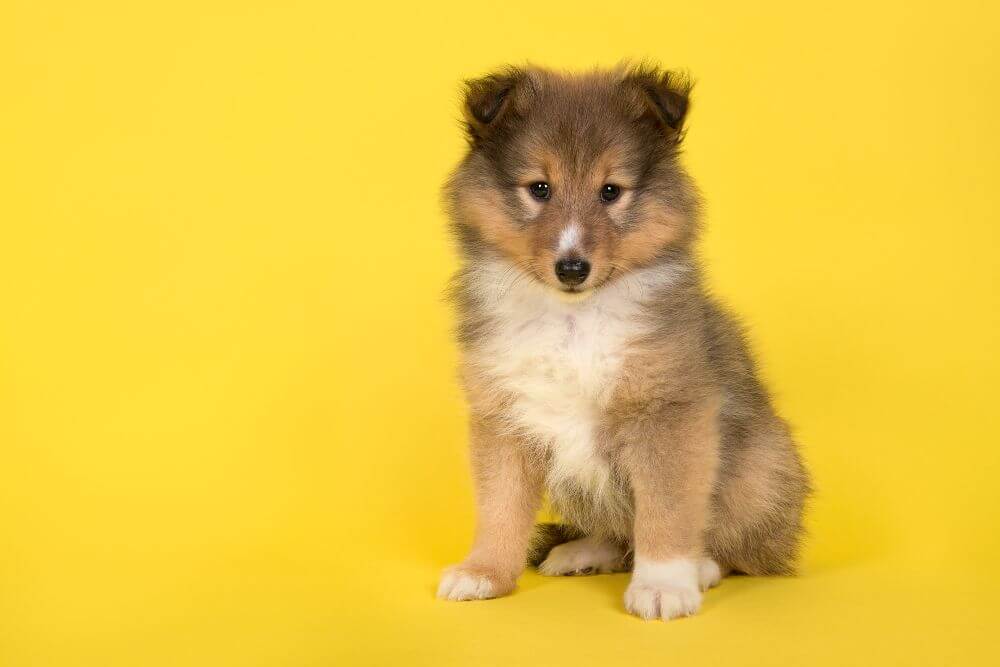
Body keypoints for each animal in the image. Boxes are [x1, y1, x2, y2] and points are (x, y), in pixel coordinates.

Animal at [434, 64, 808, 620]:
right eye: (539, 188)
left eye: (611, 191)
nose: (572, 268)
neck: (572, 320)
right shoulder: (503, 418)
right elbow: (499, 505)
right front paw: (484, 572)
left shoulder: (669, 412)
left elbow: (667, 508)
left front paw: (664, 585)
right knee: (617, 533)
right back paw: (582, 552)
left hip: (762, 466)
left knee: (744, 547)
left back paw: (702, 567)